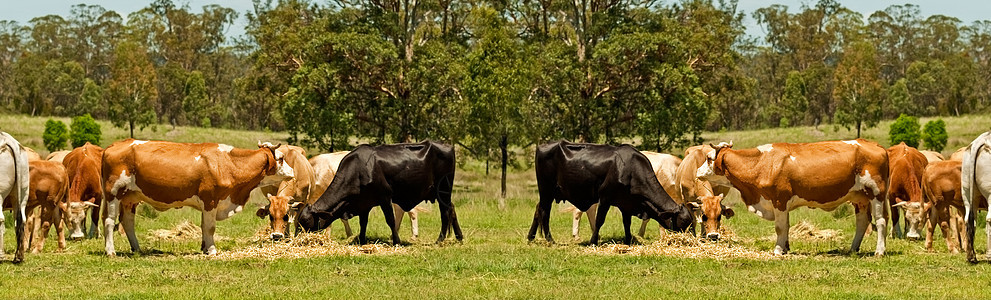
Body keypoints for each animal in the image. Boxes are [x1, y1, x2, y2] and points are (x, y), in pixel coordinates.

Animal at [101, 139, 294, 254]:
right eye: (281, 158)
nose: (292, 171)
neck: (228, 163)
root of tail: (113, 146)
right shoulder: (210, 200)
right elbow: (210, 227)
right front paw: (212, 250)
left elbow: (203, 227)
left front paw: (204, 248)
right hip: (113, 193)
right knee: (109, 221)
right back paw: (111, 251)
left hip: (130, 198)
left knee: (128, 222)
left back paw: (137, 249)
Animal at [296, 141, 464, 244]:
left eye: (306, 222)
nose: (300, 238)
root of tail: (446, 145)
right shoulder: (363, 203)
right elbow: (363, 223)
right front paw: (361, 239)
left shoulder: (385, 198)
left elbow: (390, 220)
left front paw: (396, 241)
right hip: (442, 194)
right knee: (452, 209)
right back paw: (459, 237)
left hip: (443, 191)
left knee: (445, 212)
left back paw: (440, 239)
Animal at [532, 141, 692, 244]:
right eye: (684, 222)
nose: (691, 238)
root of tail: (543, 145)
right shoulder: (605, 198)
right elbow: (600, 220)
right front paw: (593, 241)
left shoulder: (626, 203)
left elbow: (627, 223)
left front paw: (628, 240)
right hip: (546, 191)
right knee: (545, 212)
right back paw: (550, 239)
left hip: (547, 193)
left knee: (538, 209)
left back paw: (531, 237)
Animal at [696, 140, 892, 255]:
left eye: (708, 158)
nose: (697, 171)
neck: (762, 163)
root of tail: (877, 146)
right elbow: (787, 227)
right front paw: (785, 248)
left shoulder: (779, 200)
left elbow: (780, 227)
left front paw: (777, 250)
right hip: (860, 198)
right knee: (862, 222)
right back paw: (852, 249)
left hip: (877, 193)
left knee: (881, 221)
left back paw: (879, 251)